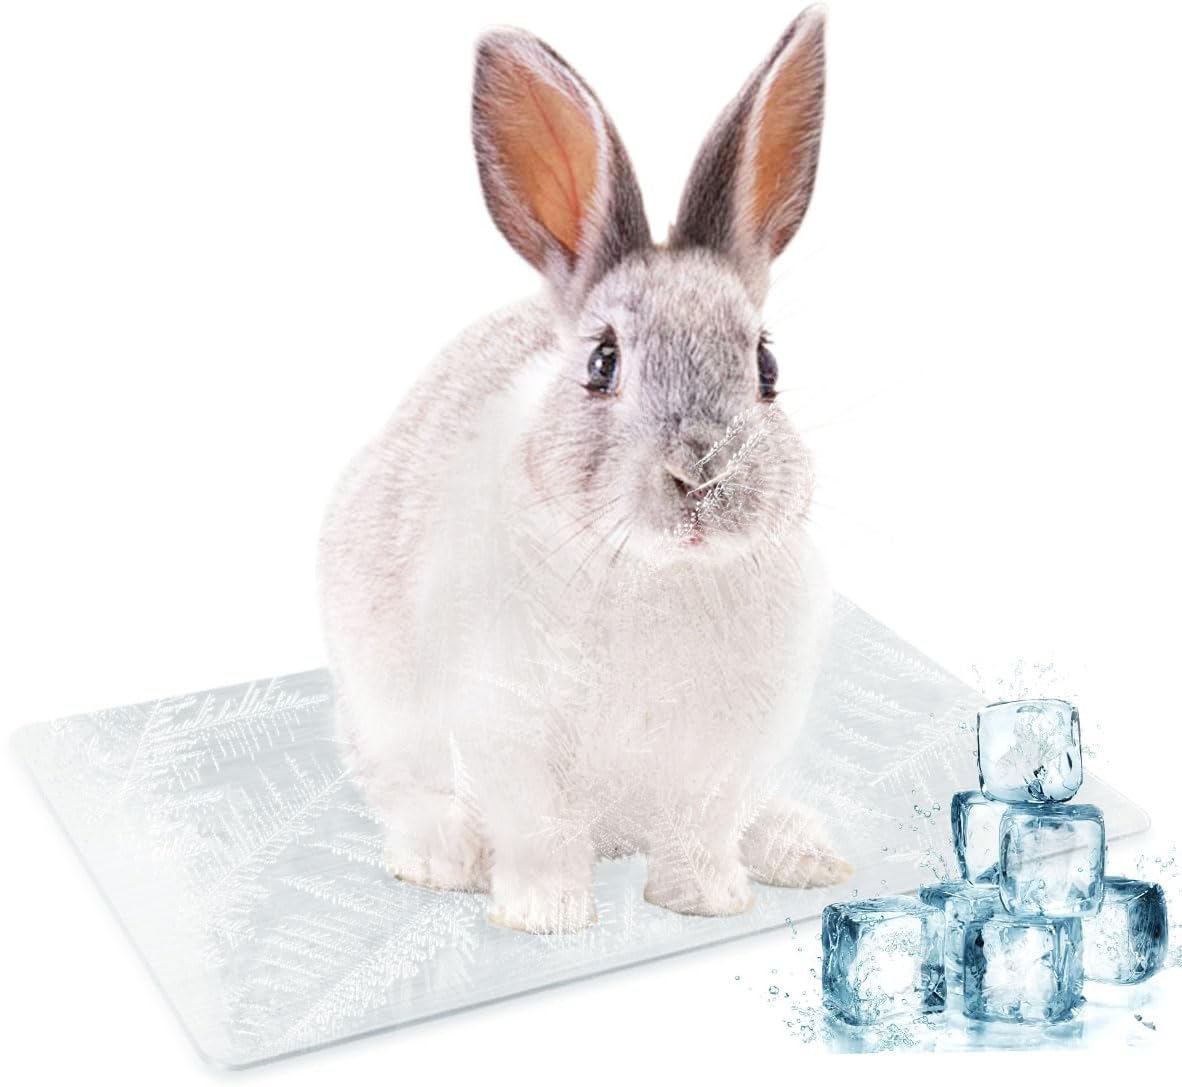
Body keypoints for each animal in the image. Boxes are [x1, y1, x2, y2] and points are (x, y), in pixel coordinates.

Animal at [318, 5, 852, 934]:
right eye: (603, 363)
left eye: (766, 365)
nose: (700, 473)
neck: (658, 572)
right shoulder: (508, 725)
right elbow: (539, 829)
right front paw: (546, 915)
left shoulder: (726, 752)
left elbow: (702, 829)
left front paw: (709, 901)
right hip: (378, 706)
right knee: (404, 791)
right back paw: (442, 855)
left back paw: (802, 848)